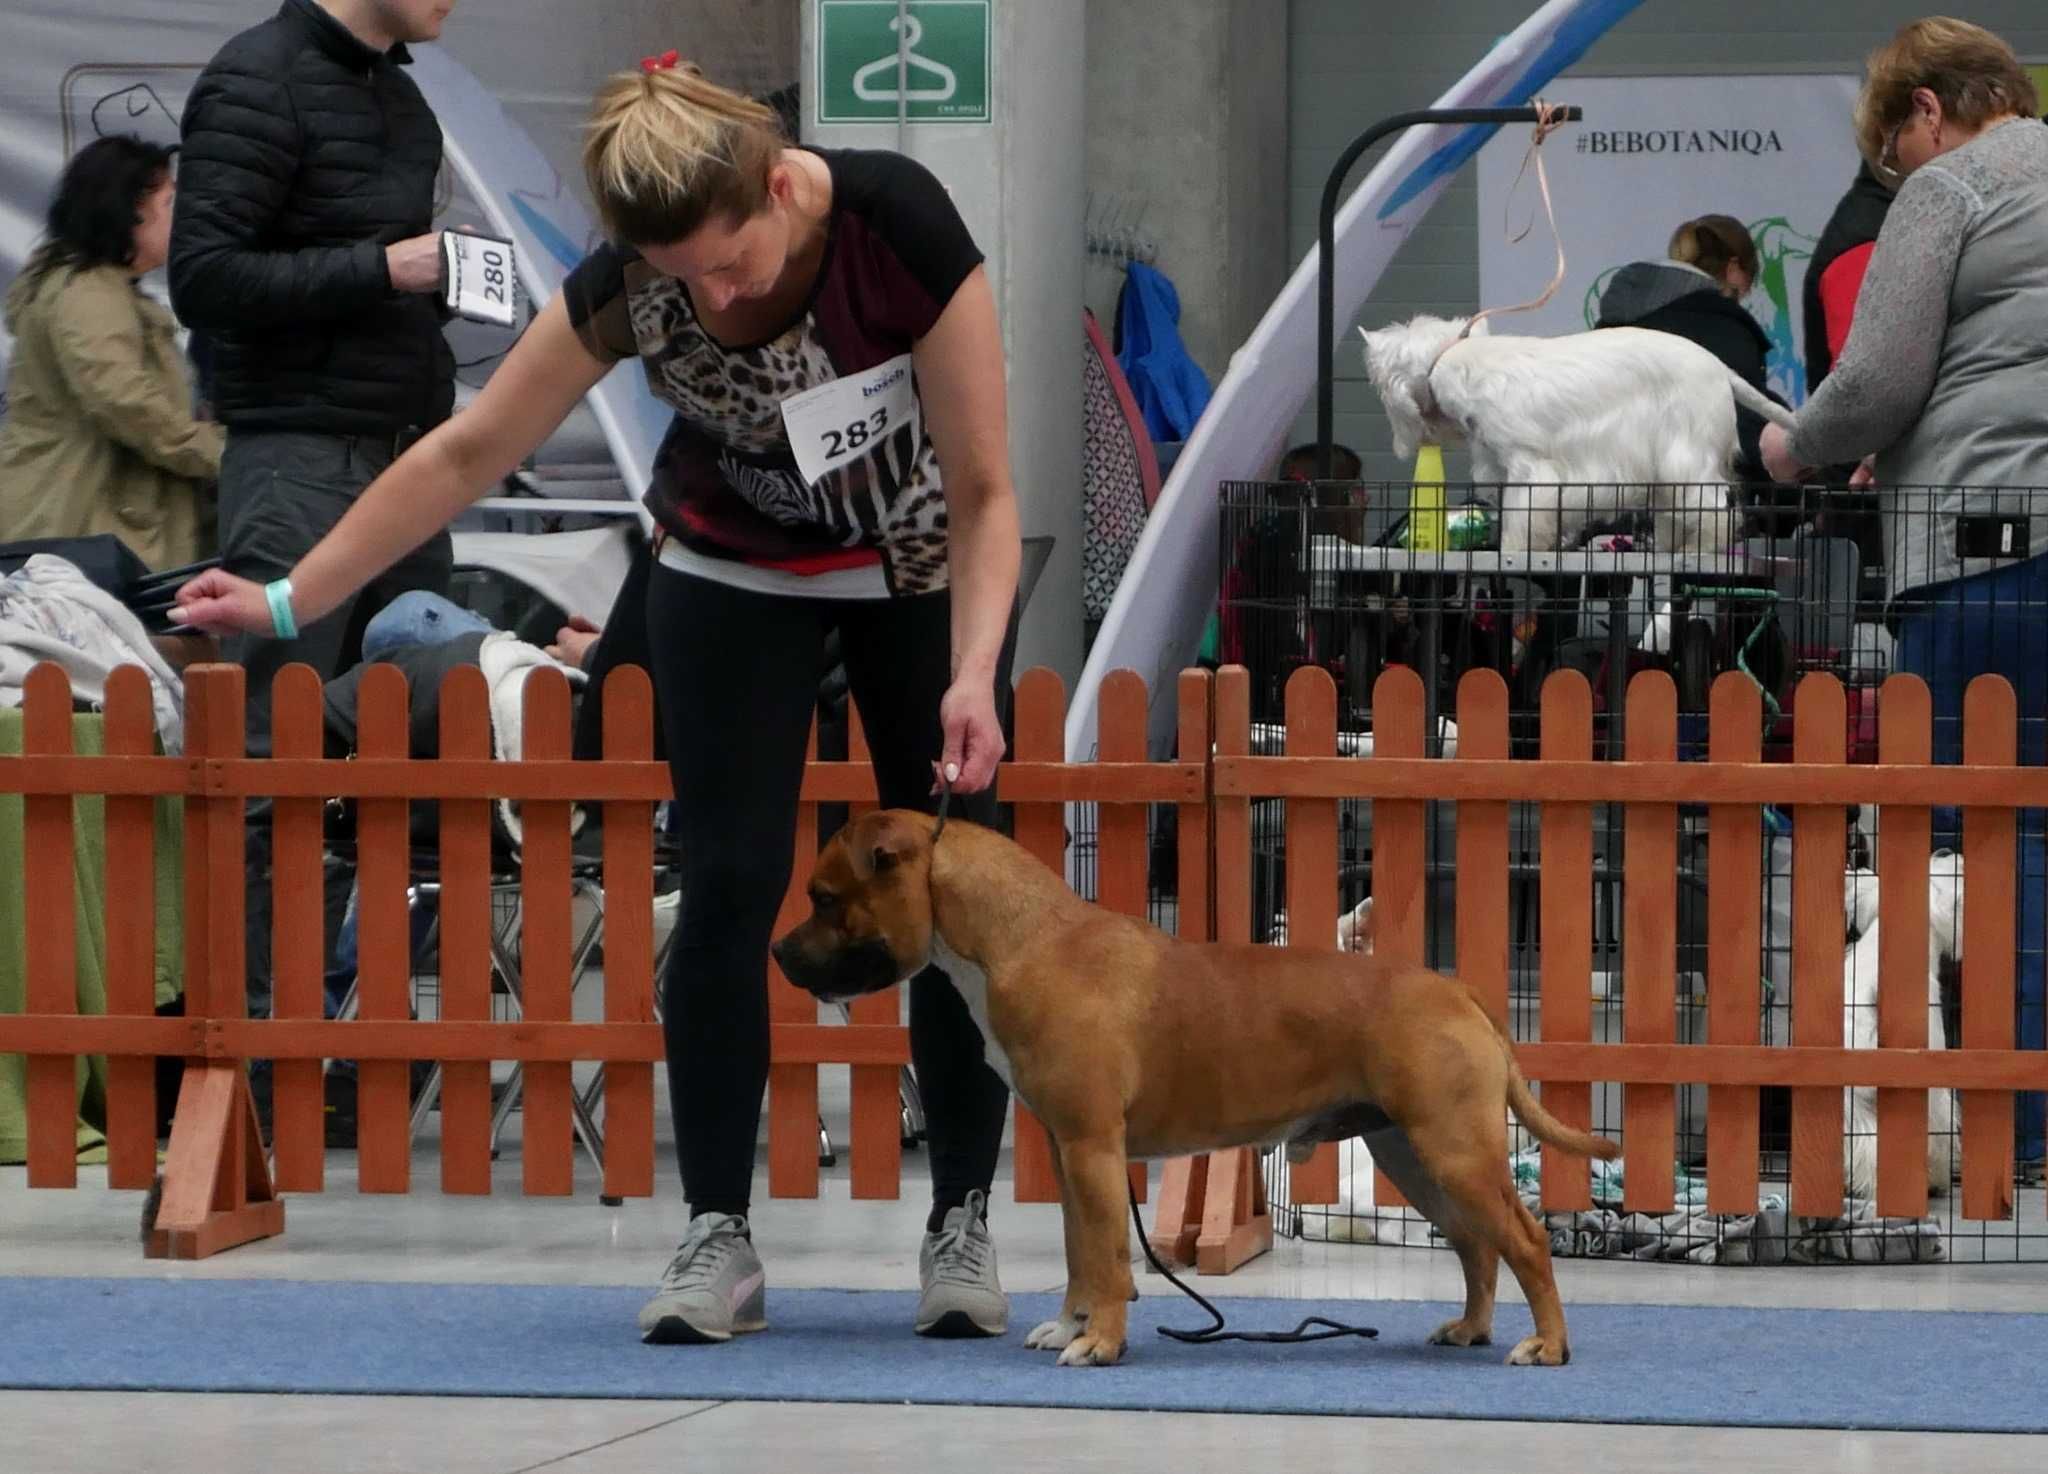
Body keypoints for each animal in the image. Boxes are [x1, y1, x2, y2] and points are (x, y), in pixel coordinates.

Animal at [770, 810, 1613, 1367]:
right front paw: (1071, 1326)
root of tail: (1455, 990)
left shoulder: (1094, 1149)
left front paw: (1101, 1342)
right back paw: (1469, 1330)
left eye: (824, 897)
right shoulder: (1072, 1153)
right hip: (1412, 1156)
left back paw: (1549, 1345)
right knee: (1476, 1244)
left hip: (1453, 1153)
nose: (778, 952)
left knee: (1525, 1242)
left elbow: (1109, 1256)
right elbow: (1081, 1251)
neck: (1021, 940)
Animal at [1359, 317, 1794, 552]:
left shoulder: (1530, 469)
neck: (1448, 358)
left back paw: (1698, 548)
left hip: (1686, 455)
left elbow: (1521, 521)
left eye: (1377, 382)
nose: (1401, 444)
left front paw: (1513, 550)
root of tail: (1721, 369)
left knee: (1715, 509)